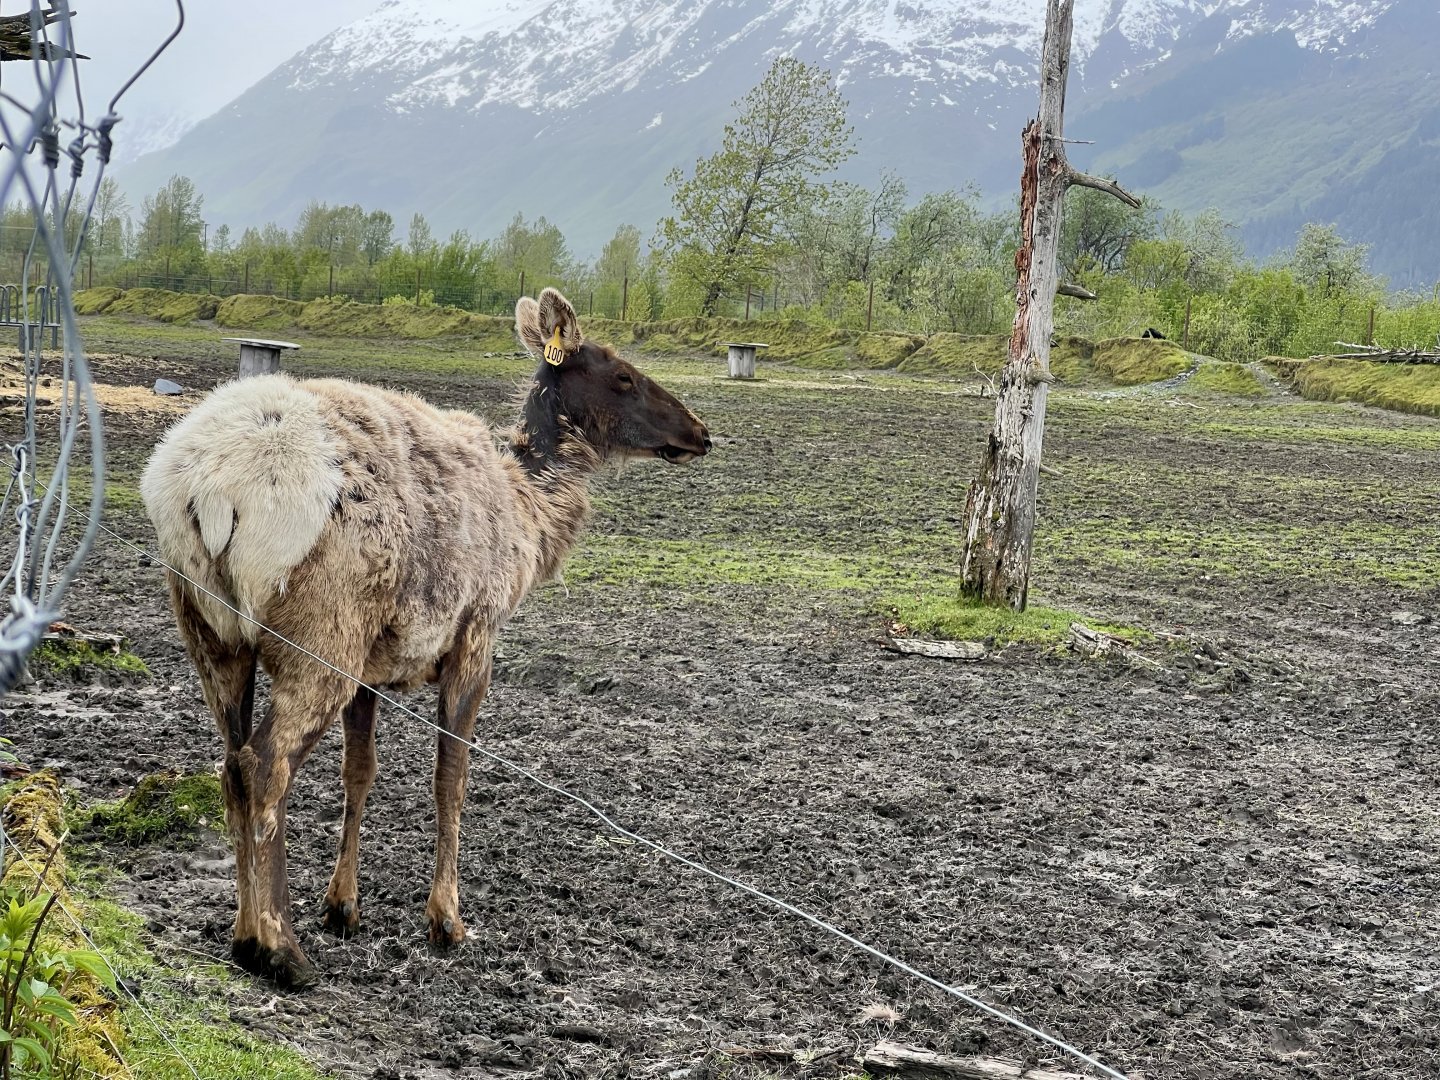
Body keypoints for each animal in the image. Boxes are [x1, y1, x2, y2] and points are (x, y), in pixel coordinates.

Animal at [139, 288, 711, 987]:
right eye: (624, 375)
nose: (700, 432)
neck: (533, 521)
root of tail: (205, 491)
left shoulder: (374, 662)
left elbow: (360, 772)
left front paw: (343, 905)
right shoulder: (477, 632)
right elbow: (451, 777)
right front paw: (446, 920)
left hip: (211, 632)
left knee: (229, 763)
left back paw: (245, 932)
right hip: (323, 630)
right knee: (264, 763)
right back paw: (278, 948)